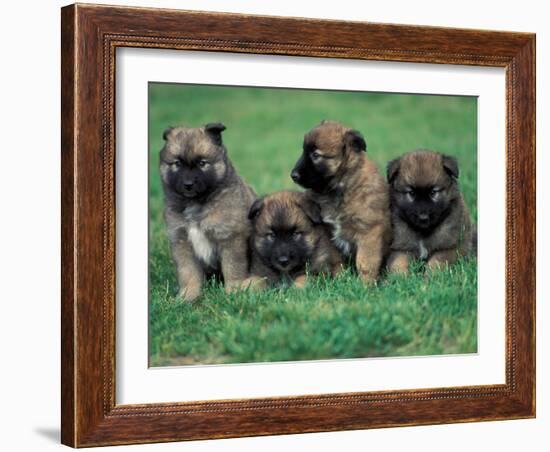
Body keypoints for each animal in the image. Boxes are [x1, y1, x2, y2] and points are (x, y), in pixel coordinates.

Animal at [158, 122, 256, 302]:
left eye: (202, 163)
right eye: (177, 163)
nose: (188, 184)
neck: (196, 203)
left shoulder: (230, 238)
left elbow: (233, 268)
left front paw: (234, 292)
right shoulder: (182, 241)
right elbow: (188, 272)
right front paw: (189, 296)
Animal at [292, 120, 394, 282]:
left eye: (315, 155)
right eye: (304, 151)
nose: (293, 175)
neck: (340, 187)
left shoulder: (369, 233)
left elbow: (365, 264)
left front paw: (365, 284)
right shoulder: (329, 234)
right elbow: (336, 260)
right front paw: (341, 280)